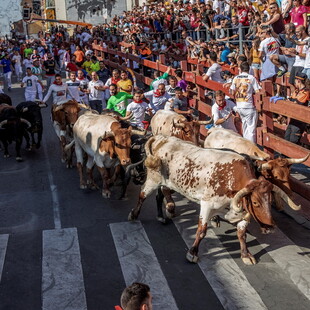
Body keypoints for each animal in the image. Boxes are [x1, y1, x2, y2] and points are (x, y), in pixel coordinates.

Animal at [127, 136, 300, 264]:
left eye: (269, 200)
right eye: (256, 202)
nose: (270, 227)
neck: (231, 177)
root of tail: (160, 138)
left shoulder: (243, 211)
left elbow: (242, 233)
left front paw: (245, 254)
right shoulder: (207, 205)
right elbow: (201, 230)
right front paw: (193, 252)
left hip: (164, 182)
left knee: (160, 194)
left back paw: (162, 215)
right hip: (153, 179)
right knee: (142, 196)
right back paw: (134, 214)